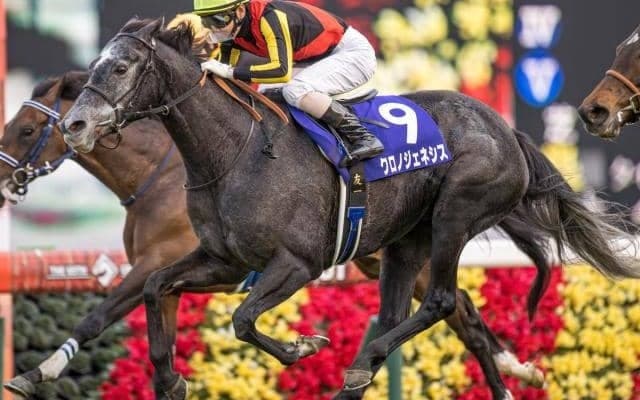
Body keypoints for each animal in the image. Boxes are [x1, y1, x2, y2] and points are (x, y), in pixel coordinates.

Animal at [0, 72, 548, 397]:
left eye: (25, 130)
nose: (4, 180)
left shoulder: (158, 263)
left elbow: (99, 315)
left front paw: (36, 373)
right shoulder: (175, 272)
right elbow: (156, 330)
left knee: (455, 307)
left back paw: (512, 374)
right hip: (398, 249)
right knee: (461, 313)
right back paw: (510, 378)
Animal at [59, 19, 640, 400]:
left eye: (122, 66)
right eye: (92, 68)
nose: (75, 125)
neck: (233, 152)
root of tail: (506, 129)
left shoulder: (297, 263)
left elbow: (243, 321)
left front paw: (304, 347)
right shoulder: (222, 260)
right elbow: (156, 288)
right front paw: (168, 378)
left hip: (456, 214)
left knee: (442, 302)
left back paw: (364, 368)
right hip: (407, 242)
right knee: (399, 312)